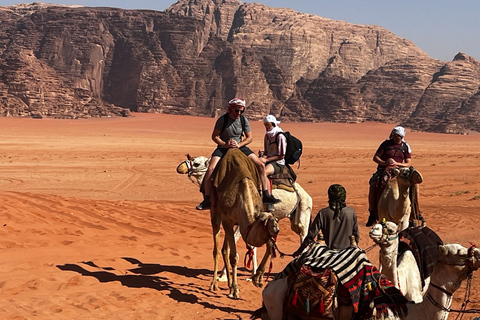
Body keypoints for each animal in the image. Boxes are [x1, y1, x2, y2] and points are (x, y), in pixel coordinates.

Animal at [207, 149, 282, 298]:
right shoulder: (227, 220)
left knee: (224, 249)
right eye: (268, 225)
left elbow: (262, 247)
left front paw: (257, 278)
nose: (276, 230)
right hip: (215, 212)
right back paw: (214, 284)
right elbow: (234, 257)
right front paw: (235, 290)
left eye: (275, 222)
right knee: (217, 249)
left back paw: (228, 283)